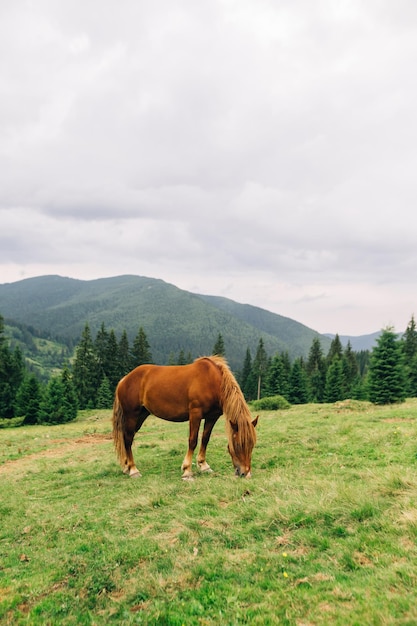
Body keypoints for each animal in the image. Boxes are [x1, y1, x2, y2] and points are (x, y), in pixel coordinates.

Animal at [112, 356, 258, 478]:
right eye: (238, 444)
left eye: (252, 444)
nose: (246, 473)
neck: (212, 381)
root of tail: (124, 379)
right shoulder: (195, 414)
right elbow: (192, 440)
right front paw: (187, 470)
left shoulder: (212, 417)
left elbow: (205, 439)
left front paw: (203, 466)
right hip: (131, 415)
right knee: (128, 439)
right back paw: (133, 470)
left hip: (141, 415)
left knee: (126, 437)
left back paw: (126, 467)